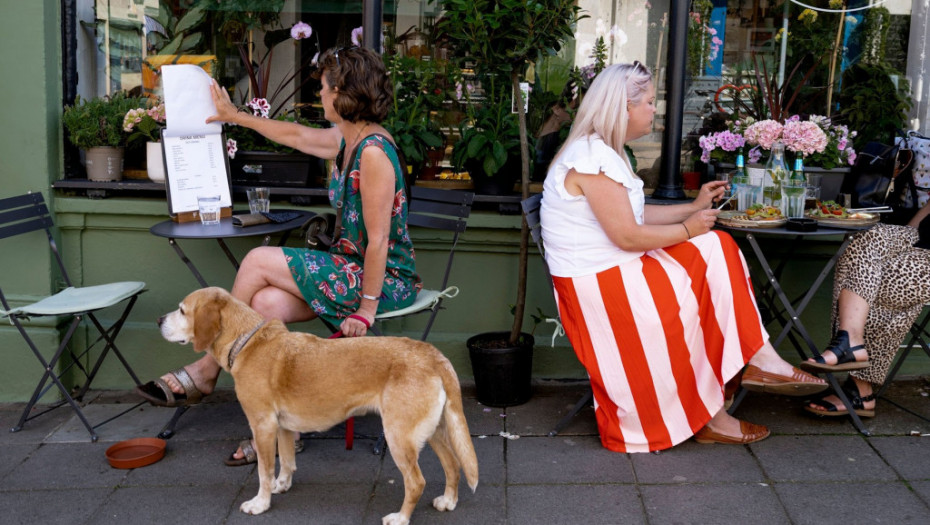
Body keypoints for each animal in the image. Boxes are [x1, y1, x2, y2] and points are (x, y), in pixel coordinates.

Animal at [159, 286, 474, 524]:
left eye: (183, 310)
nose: (160, 318)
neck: (248, 341)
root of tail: (433, 354)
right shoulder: (282, 427)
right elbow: (286, 462)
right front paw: (281, 486)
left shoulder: (262, 425)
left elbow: (263, 471)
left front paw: (261, 503)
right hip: (431, 432)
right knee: (453, 465)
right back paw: (448, 500)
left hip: (399, 436)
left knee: (416, 482)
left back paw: (401, 518)